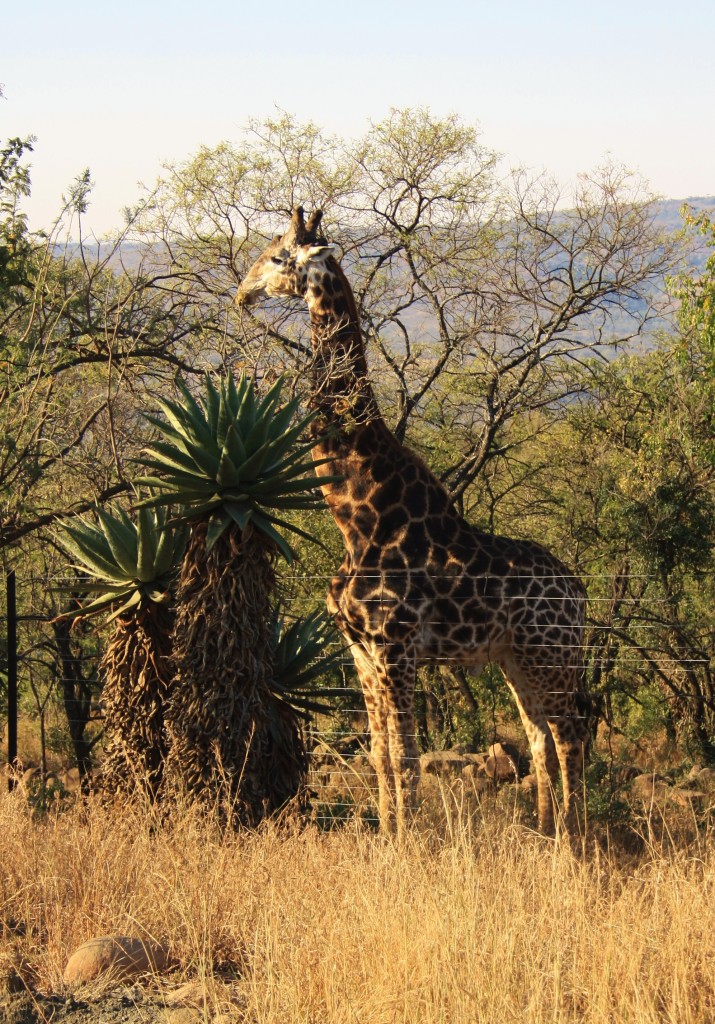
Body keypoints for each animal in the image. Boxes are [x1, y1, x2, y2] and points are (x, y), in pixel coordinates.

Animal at [236, 203, 585, 835]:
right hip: (514, 658)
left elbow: (406, 755)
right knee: (540, 737)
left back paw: (576, 840)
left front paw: (408, 843)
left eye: (275, 256)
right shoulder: (359, 647)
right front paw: (386, 838)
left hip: (549, 652)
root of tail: (580, 594)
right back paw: (546, 834)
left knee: (569, 735)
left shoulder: (395, 645)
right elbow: (379, 754)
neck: (356, 512)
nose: (241, 293)